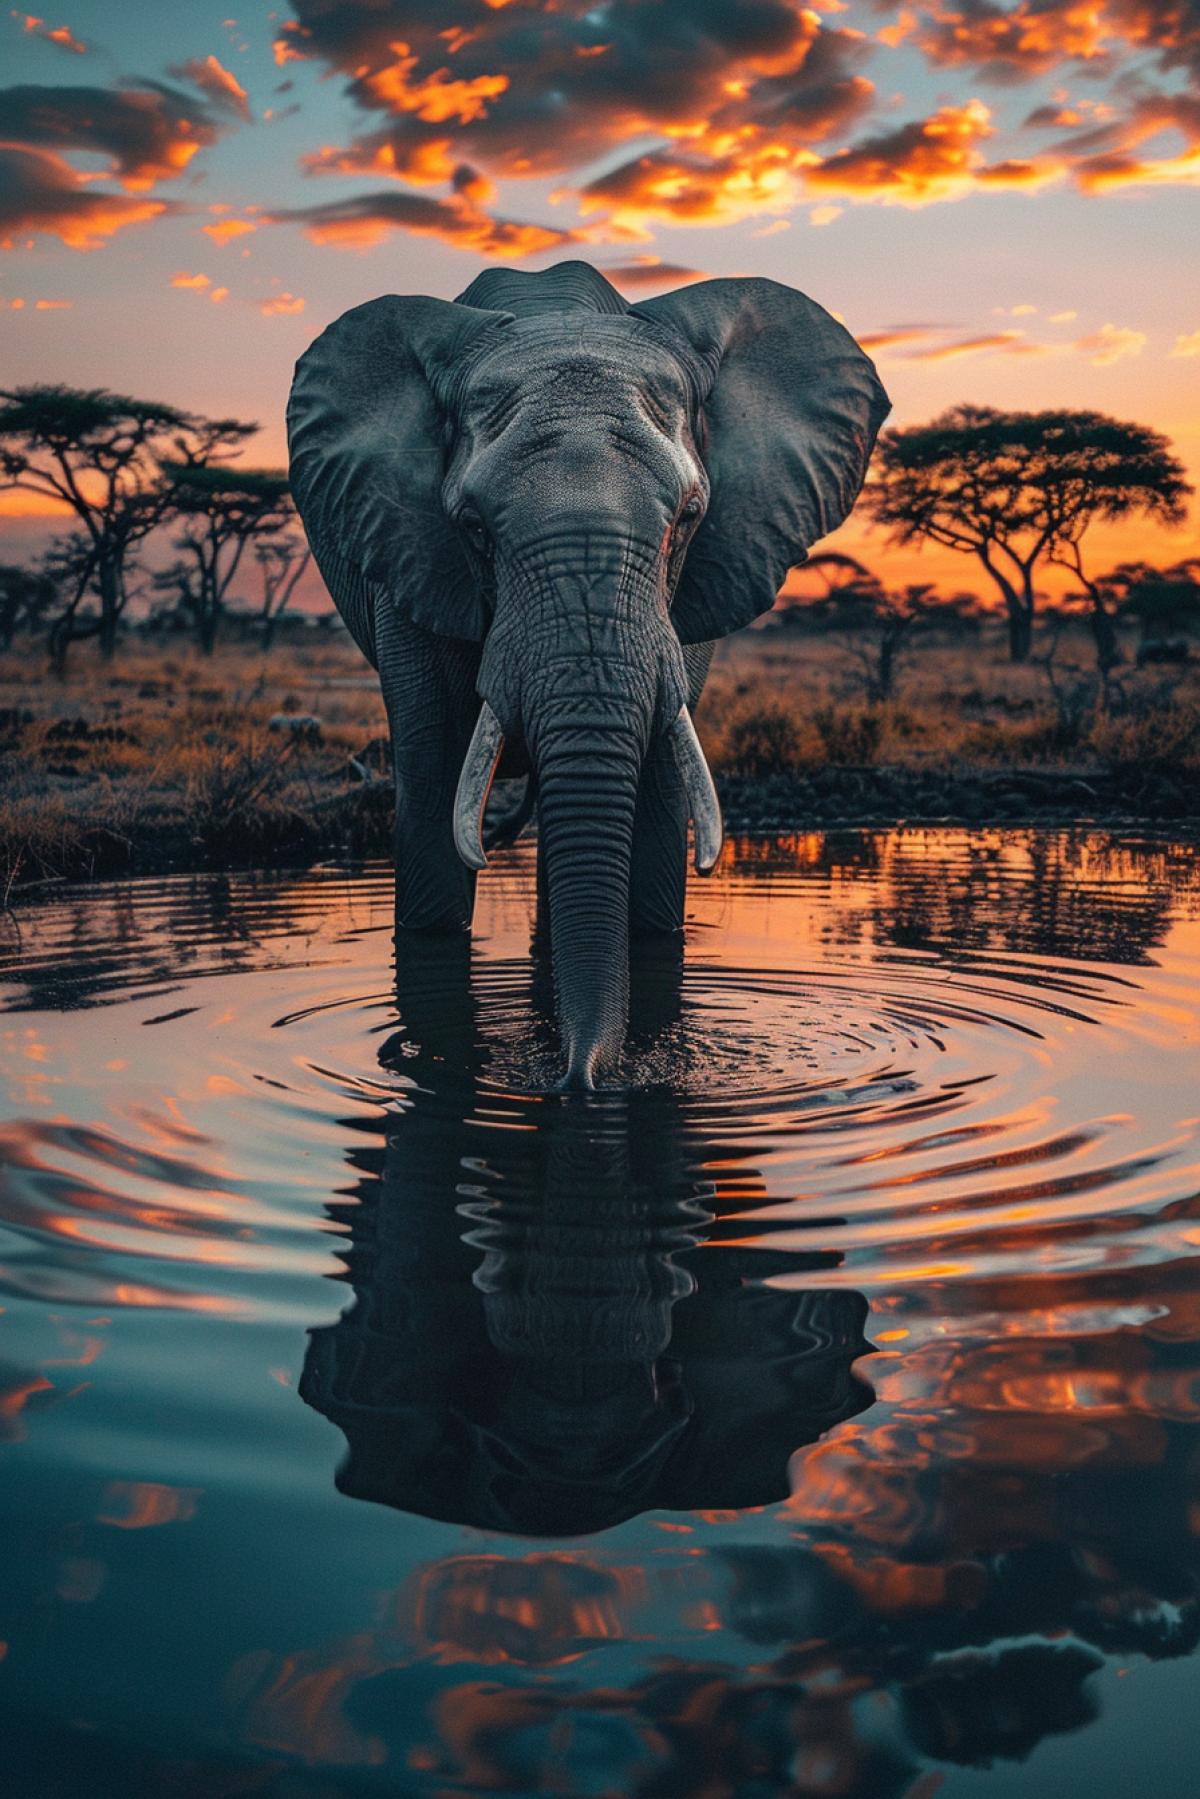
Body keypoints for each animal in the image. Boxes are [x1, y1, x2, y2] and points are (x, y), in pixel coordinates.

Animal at [287, 259, 889, 1087]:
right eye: (472, 526)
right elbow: (435, 793)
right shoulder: (408, 552)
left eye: (688, 518)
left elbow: (658, 804)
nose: (582, 1077)